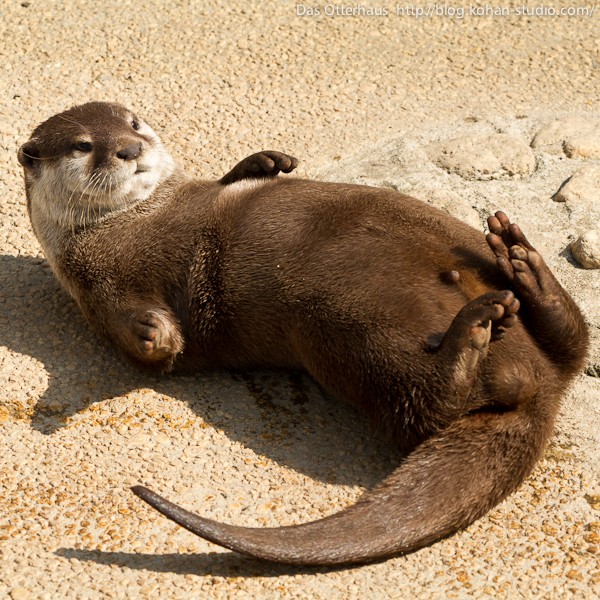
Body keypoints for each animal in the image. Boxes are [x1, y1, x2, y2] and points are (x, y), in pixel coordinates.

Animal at [17, 101, 584, 564]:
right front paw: (152, 330)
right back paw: (478, 327)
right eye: (84, 145)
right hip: (350, 334)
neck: (132, 223)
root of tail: (543, 391)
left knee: (575, 344)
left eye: (134, 124)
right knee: (428, 407)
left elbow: (227, 182)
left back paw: (525, 266)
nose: (130, 149)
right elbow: (155, 349)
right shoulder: (96, 292)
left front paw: (264, 162)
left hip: (447, 236)